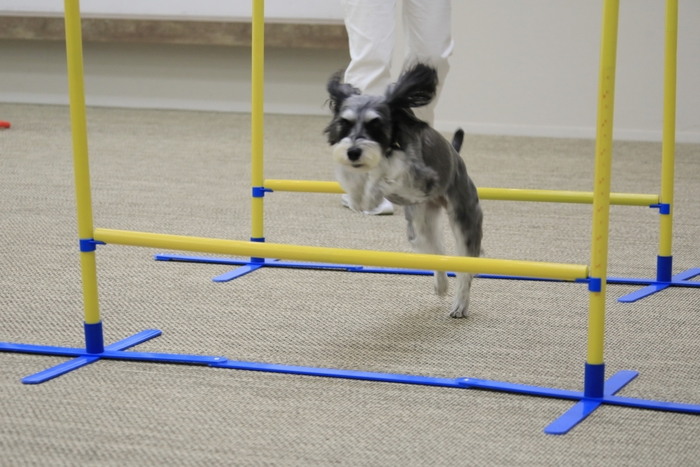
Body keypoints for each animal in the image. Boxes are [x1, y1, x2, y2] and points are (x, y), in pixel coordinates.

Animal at [326, 63, 484, 318]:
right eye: (345, 123)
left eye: (375, 124)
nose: (354, 152)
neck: (389, 146)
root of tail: (457, 156)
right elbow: (349, 174)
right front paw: (357, 195)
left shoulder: (422, 178)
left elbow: (385, 176)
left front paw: (371, 194)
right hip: (420, 228)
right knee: (437, 252)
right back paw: (441, 284)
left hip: (464, 220)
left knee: (465, 268)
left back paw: (460, 304)